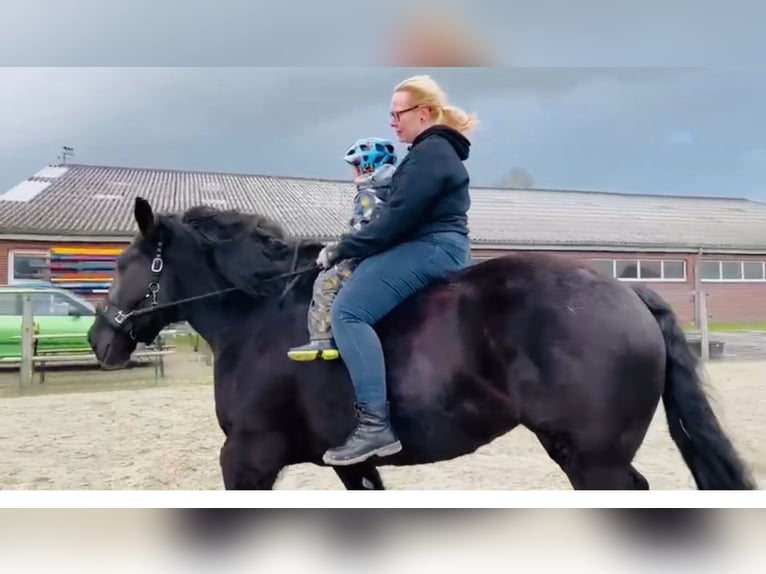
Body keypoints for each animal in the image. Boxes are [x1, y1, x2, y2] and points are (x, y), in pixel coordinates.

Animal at [87, 197, 756, 490]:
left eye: (121, 265)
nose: (99, 340)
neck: (259, 316)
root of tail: (627, 292)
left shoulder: (247, 460)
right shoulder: (353, 469)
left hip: (594, 461)